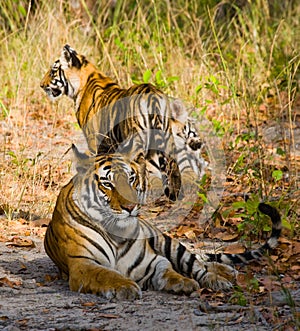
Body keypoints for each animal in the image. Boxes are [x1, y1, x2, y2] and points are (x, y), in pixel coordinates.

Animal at [44, 144, 282, 300]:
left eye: (131, 179)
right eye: (108, 184)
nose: (130, 207)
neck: (116, 233)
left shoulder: (152, 260)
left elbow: (169, 269)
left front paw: (184, 282)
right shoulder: (82, 264)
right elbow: (106, 273)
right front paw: (126, 286)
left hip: (167, 241)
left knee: (196, 262)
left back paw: (221, 277)